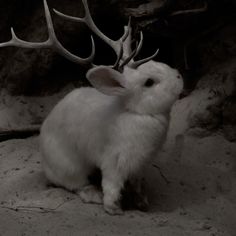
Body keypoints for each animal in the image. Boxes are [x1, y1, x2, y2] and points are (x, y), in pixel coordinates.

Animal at [39, 60, 183, 215]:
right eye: (149, 82)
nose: (178, 76)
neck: (135, 112)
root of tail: (45, 164)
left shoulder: (139, 166)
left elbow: (136, 184)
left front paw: (142, 202)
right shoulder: (115, 161)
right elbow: (112, 184)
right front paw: (113, 208)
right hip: (70, 167)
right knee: (76, 184)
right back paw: (94, 195)